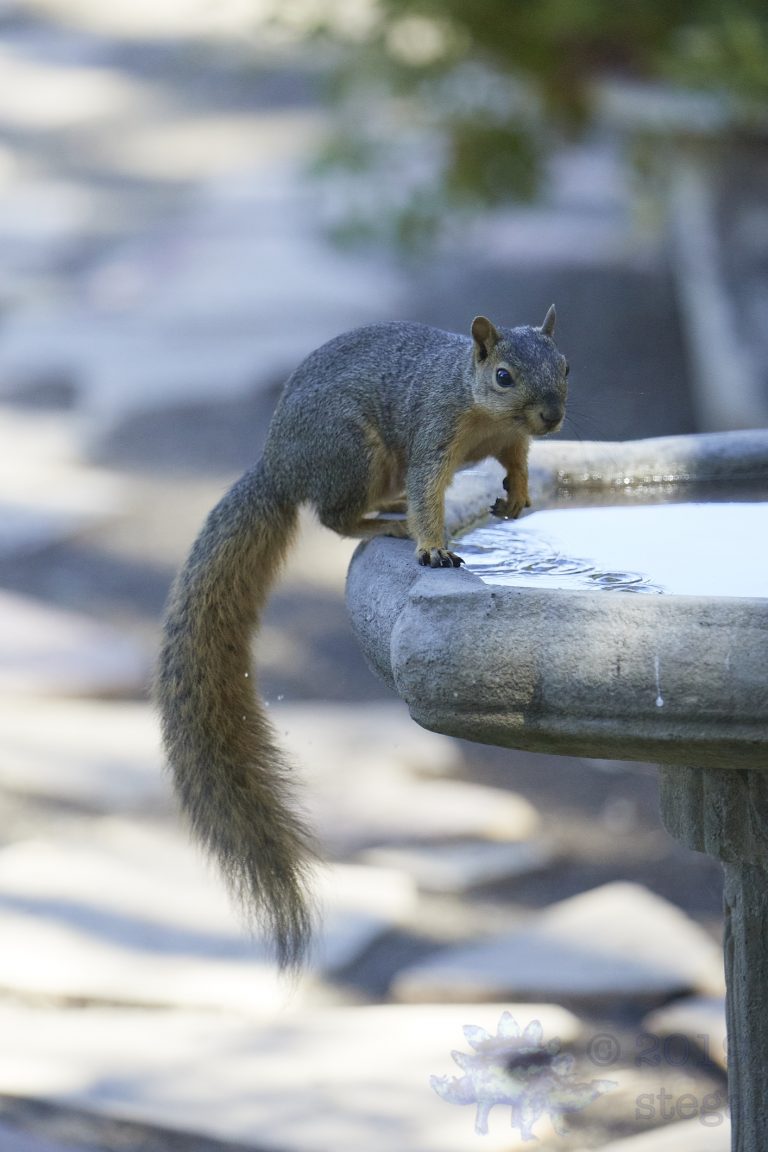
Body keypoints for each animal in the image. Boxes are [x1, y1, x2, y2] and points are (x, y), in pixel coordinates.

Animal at [156, 305, 568, 969]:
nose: (552, 416)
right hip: (355, 451)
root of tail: (277, 466)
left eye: (565, 365)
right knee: (337, 518)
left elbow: (520, 458)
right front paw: (433, 547)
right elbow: (430, 494)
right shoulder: (433, 432)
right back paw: (390, 524)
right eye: (503, 375)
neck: (481, 410)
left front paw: (521, 496)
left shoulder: (510, 440)